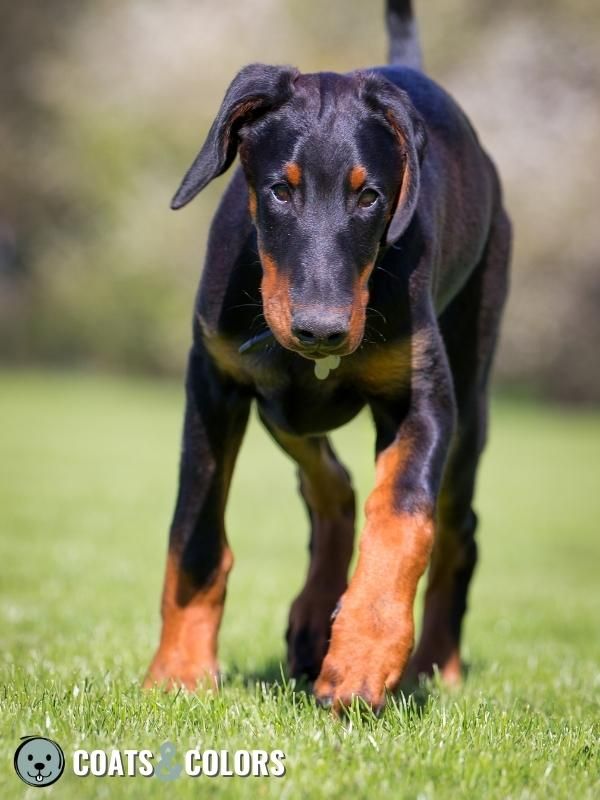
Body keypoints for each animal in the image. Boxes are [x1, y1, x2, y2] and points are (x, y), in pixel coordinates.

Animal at [145, 0, 510, 712]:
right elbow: (194, 537)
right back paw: (315, 616)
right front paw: (178, 673)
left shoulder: (425, 401)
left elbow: (402, 518)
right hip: (276, 398)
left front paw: (364, 656)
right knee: (330, 483)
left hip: (472, 392)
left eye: (370, 196)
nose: (321, 331)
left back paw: (435, 663)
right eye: (279, 191)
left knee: (458, 529)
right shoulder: (214, 382)